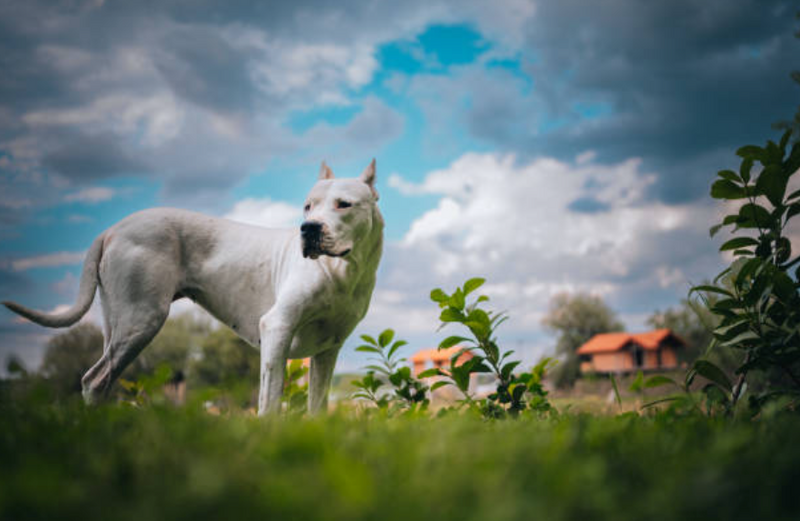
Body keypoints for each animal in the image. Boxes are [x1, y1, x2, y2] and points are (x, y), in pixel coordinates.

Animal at [2, 160, 384, 412]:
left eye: (343, 204)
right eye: (307, 206)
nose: (309, 228)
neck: (342, 270)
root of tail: (112, 229)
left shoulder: (327, 351)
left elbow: (317, 407)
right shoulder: (277, 328)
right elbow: (269, 402)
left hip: (119, 322)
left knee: (99, 381)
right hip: (141, 319)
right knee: (95, 380)